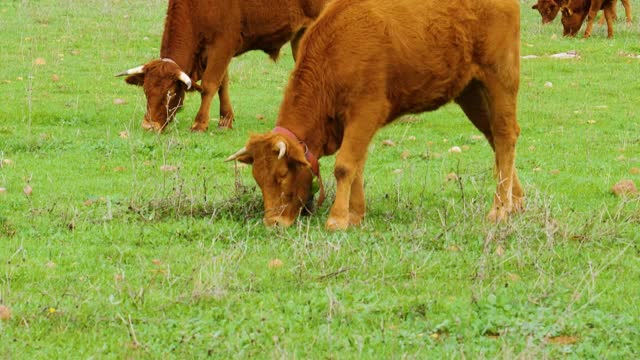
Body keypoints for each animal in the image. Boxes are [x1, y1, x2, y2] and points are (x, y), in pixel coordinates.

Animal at [115, 0, 328, 132]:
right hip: (300, 37)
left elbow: (210, 84)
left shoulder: (223, 45)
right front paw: (225, 119)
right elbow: (222, 84)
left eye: (171, 92)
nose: (148, 126)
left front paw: (200, 123)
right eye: (145, 91)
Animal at [228, 0, 524, 231]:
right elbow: (357, 165)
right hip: (471, 92)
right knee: (495, 140)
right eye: (258, 179)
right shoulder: (354, 124)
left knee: (505, 135)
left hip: (500, 78)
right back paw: (517, 201)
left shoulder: (365, 112)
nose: (273, 223)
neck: (335, 51)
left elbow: (345, 165)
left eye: (281, 176)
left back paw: (500, 208)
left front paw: (337, 219)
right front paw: (356, 214)